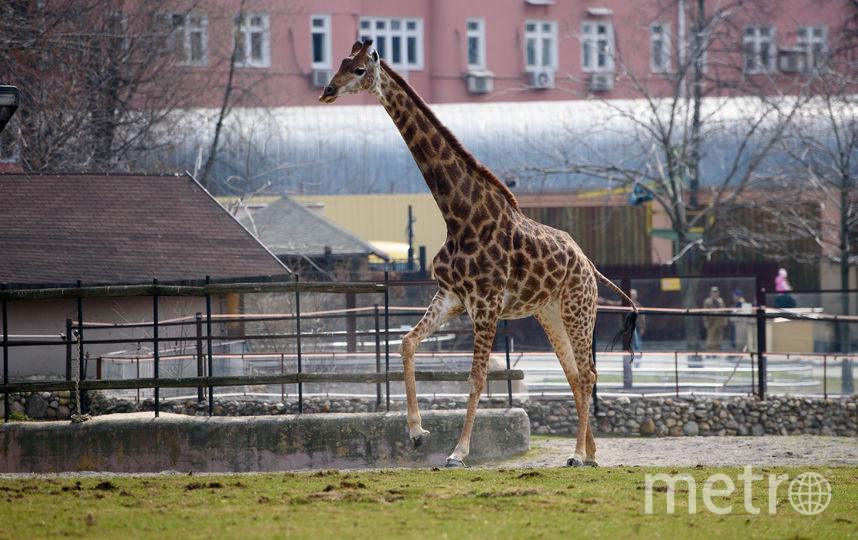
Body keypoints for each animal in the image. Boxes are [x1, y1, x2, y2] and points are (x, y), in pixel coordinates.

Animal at [320, 41, 636, 468]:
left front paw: (458, 452)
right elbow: (406, 343)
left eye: (357, 69)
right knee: (574, 375)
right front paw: (417, 433)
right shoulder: (451, 296)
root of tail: (589, 265)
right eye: (339, 62)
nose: (327, 91)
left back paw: (576, 455)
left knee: (588, 375)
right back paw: (590, 453)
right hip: (550, 313)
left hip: (579, 309)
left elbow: (476, 378)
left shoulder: (486, 304)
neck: (459, 215)